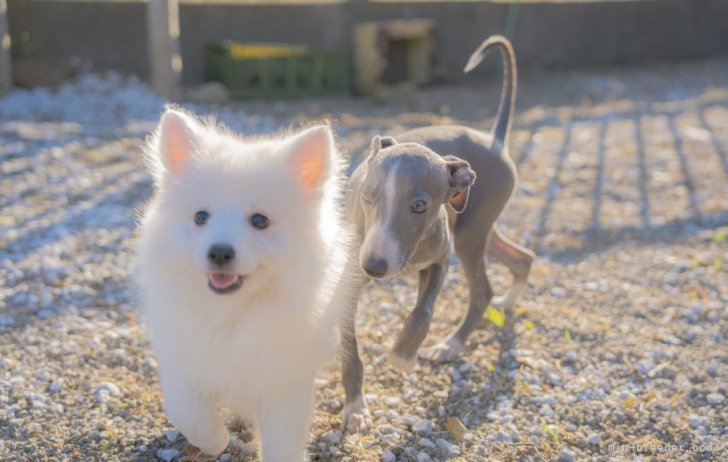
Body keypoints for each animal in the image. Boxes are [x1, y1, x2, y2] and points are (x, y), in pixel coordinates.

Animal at [138, 107, 354, 462]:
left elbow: (283, 446)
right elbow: (189, 413)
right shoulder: (184, 363)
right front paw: (216, 442)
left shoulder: (283, 385)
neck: (231, 314)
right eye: (200, 217)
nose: (219, 252)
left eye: (259, 221)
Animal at [338, 36, 532, 434]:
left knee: (483, 291)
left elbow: (422, 313)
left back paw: (451, 345)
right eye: (368, 198)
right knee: (521, 258)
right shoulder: (348, 280)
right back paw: (507, 301)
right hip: (479, 227)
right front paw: (355, 407)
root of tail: (493, 141)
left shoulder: (438, 261)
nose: (374, 268)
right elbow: (350, 349)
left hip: (470, 235)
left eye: (419, 206)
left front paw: (402, 355)